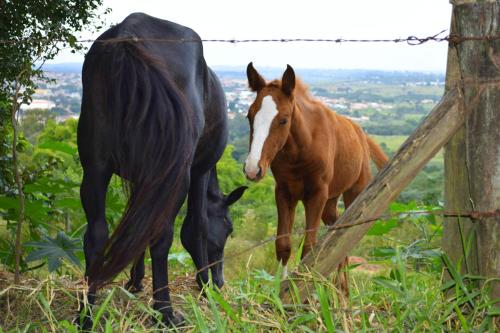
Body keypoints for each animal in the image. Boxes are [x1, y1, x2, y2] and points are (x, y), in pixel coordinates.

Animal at [78, 13, 246, 326]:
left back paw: (86, 314)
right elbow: (196, 227)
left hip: (95, 169)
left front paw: (135, 281)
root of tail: (128, 35)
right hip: (176, 177)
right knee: (161, 236)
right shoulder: (199, 172)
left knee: (96, 235)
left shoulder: (145, 180)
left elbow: (135, 225)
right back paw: (165, 311)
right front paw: (204, 287)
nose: (220, 281)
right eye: (229, 229)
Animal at [242, 62, 386, 290]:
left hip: (353, 193)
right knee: (335, 235)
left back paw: (341, 291)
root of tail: (360, 133)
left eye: (283, 120)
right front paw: (280, 291)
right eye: (249, 116)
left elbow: (309, 249)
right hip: (330, 202)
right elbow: (283, 245)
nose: (252, 168)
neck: (301, 150)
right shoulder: (284, 193)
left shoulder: (317, 195)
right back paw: (339, 291)